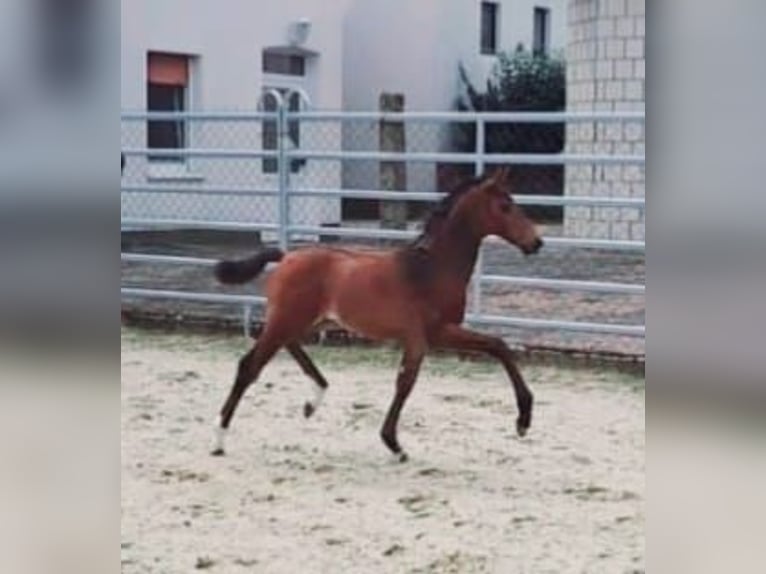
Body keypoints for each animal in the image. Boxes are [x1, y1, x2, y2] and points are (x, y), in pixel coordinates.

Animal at [213, 169, 544, 462]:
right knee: (249, 366)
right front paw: (394, 444)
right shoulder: (426, 335)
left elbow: (496, 346)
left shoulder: (439, 333)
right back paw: (219, 439)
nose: (536, 242)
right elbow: (407, 383)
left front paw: (524, 419)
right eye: (505, 206)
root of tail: (286, 256)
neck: (432, 269)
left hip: (305, 321)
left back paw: (313, 399)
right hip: (287, 319)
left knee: (289, 346)